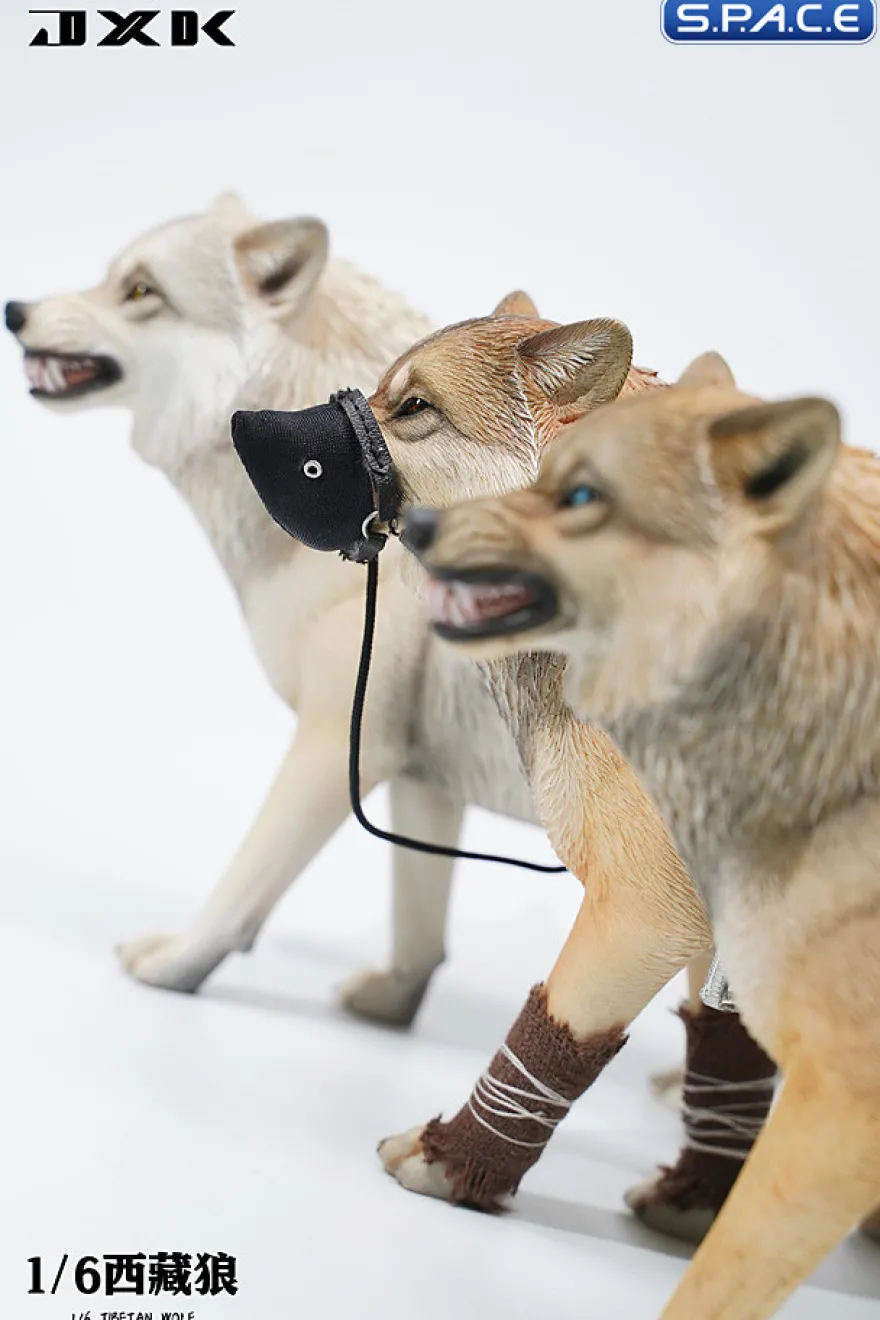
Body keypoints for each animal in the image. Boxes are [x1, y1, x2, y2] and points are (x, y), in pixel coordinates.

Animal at [408, 352, 880, 1315]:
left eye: (583, 497)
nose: (420, 527)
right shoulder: (712, 927)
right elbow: (726, 1051)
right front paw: (691, 1197)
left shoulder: (652, 909)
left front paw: (451, 1165)